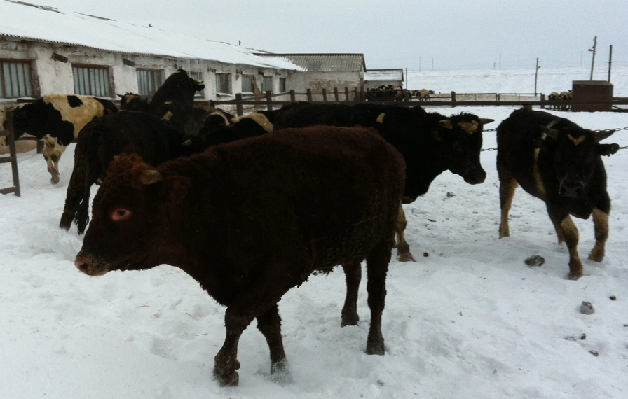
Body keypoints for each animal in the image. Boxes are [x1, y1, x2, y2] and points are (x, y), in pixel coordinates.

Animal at [75, 126, 408, 388]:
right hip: (354, 241)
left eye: (121, 211)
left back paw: (374, 344)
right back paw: (348, 317)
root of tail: (383, 144)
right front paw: (281, 374)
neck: (213, 202)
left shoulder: (281, 271)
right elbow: (269, 326)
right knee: (353, 275)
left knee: (376, 295)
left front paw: (225, 371)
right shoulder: (248, 279)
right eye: (96, 204)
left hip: (381, 241)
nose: (83, 261)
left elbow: (236, 316)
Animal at [498, 108, 620, 280]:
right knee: (505, 206)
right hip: (506, 174)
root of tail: (516, 113)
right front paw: (575, 270)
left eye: (590, 155)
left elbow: (602, 230)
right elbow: (572, 234)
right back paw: (504, 234)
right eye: (558, 155)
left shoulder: (603, 198)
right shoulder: (557, 201)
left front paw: (596, 257)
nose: (571, 188)